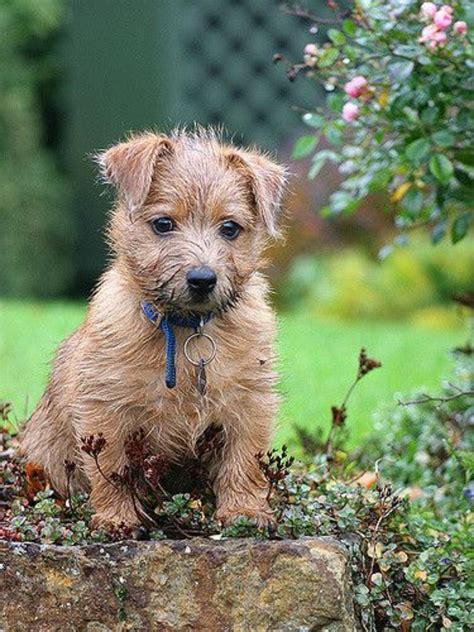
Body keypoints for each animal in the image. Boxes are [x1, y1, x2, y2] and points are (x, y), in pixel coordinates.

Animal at [20, 128, 286, 528]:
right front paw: (117, 517)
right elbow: (111, 469)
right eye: (163, 224)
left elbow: (245, 463)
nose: (203, 279)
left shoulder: (249, 402)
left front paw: (244, 511)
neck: (186, 327)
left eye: (230, 228)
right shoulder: (105, 408)